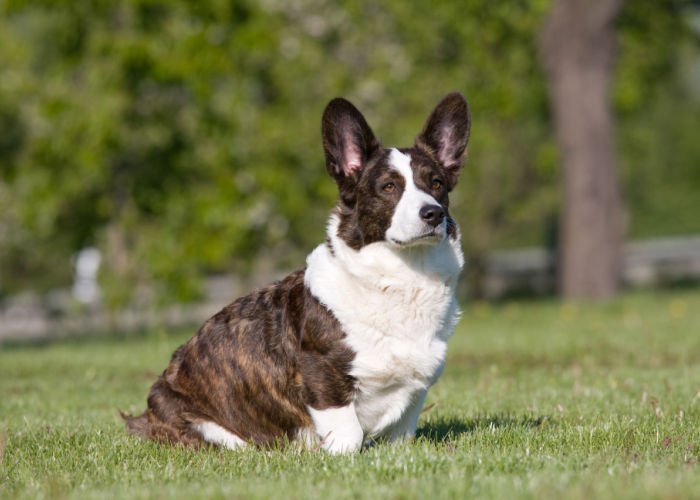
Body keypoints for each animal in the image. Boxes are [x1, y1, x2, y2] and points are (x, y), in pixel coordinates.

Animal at [121, 90, 470, 454]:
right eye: (389, 187)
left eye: (437, 184)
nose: (433, 213)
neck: (404, 276)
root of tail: (145, 416)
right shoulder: (323, 376)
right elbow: (348, 435)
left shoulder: (415, 392)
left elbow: (402, 434)